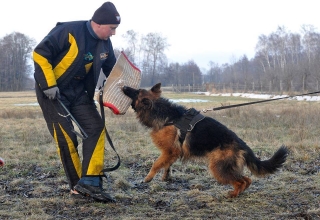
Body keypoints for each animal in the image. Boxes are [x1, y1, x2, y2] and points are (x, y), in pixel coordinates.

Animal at [122, 83, 288, 198]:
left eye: (136, 92)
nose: (123, 86)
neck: (162, 112)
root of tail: (243, 145)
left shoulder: (170, 151)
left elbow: (156, 163)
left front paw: (148, 178)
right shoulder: (171, 153)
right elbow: (166, 164)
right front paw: (165, 177)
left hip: (217, 169)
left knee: (242, 180)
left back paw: (233, 195)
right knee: (247, 180)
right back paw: (237, 193)